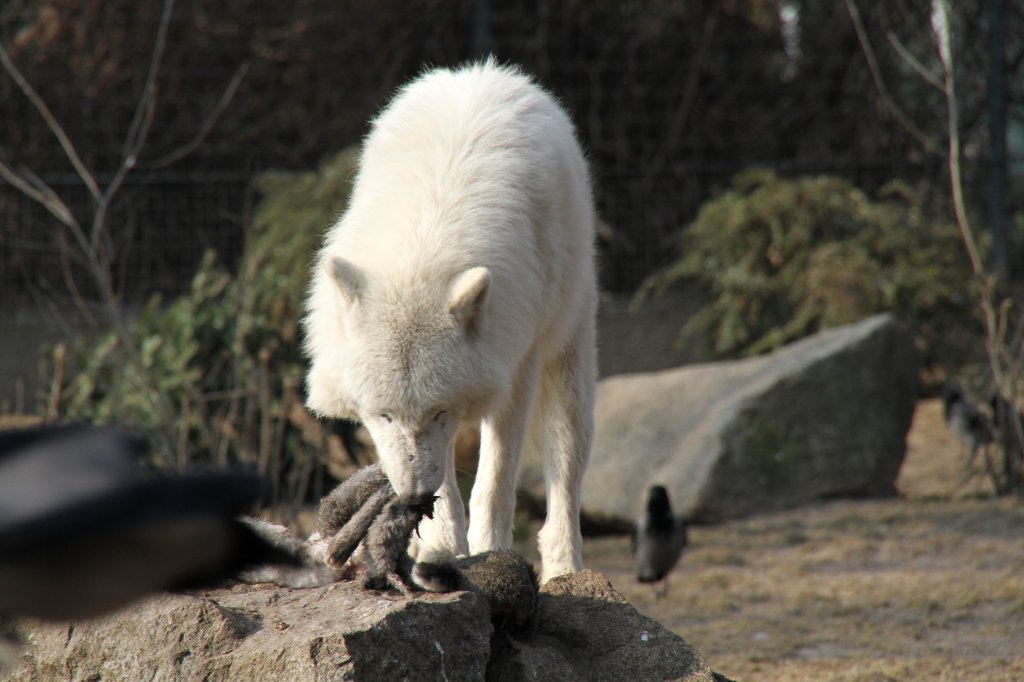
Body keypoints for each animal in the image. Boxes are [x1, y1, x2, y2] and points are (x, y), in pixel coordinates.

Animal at [303, 59, 598, 577]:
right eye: (384, 415)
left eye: (440, 412)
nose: (412, 497)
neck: (421, 250)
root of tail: (482, 71)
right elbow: (445, 478)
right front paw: (441, 544)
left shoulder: (512, 370)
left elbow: (494, 481)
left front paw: (489, 549)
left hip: (569, 350)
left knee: (565, 475)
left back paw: (566, 568)